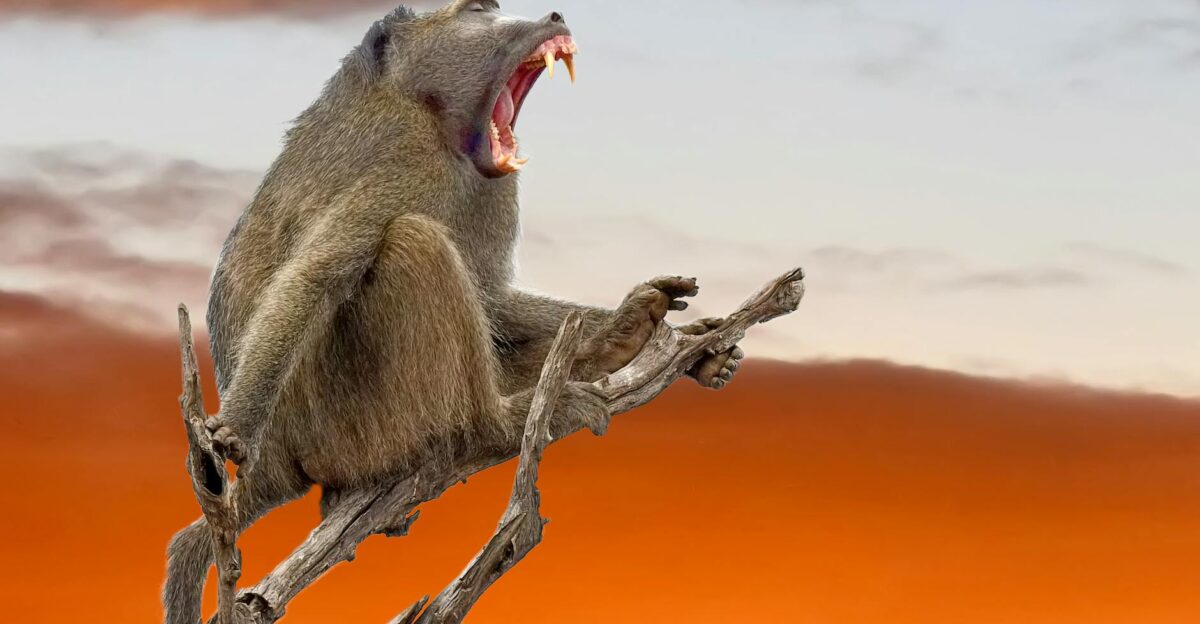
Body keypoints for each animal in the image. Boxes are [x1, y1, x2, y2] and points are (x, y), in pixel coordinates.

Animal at [162, 2, 743, 622]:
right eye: (476, 11)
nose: (554, 15)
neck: (423, 105)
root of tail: (280, 461)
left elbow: (490, 298)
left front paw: (661, 335)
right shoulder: (409, 164)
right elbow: (317, 274)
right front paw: (233, 428)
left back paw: (614, 347)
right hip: (346, 426)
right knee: (414, 243)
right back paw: (500, 424)